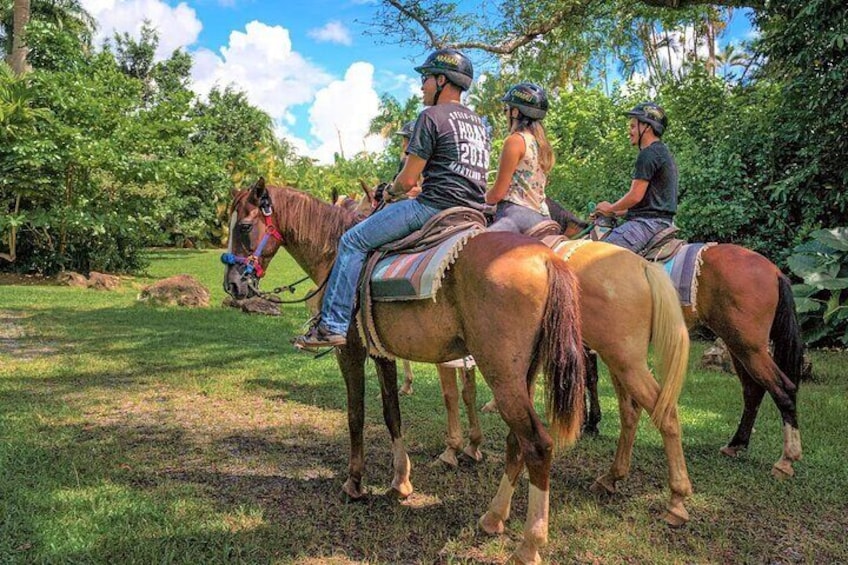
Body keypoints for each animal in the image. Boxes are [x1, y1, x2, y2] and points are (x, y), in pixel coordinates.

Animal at [222, 178, 588, 560]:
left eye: (244, 226)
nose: (232, 284)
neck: (333, 251)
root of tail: (547, 258)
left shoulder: (350, 351)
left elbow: (356, 415)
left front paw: (355, 483)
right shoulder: (381, 353)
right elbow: (391, 412)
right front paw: (400, 480)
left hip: (501, 375)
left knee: (538, 445)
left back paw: (530, 543)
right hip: (522, 376)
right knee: (516, 442)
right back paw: (493, 517)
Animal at [548, 198, 804, 476]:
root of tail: (775, 271)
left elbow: (588, 377)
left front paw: (589, 423)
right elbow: (590, 377)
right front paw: (591, 423)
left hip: (750, 347)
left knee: (783, 388)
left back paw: (786, 459)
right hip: (738, 345)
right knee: (753, 390)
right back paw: (736, 444)